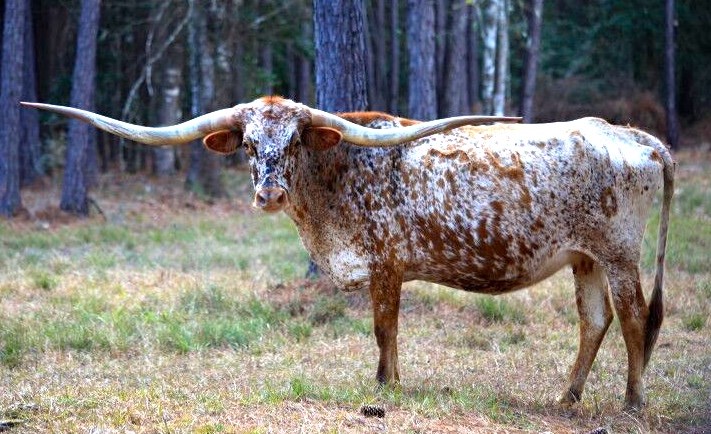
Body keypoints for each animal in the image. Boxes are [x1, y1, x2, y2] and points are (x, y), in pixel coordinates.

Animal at [22, 96, 674, 410]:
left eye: (294, 141)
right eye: (250, 144)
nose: (268, 193)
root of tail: (636, 137)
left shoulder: (386, 265)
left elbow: (384, 329)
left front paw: (385, 388)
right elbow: (386, 331)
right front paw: (391, 383)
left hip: (619, 254)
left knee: (634, 319)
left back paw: (632, 401)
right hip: (584, 258)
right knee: (595, 320)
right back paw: (568, 397)